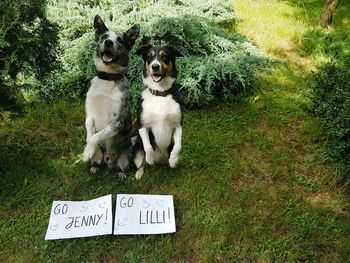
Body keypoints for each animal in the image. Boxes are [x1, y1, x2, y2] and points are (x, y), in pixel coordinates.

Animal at [83, 14, 139, 179]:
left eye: (120, 40)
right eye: (104, 37)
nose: (108, 42)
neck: (108, 78)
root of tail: (108, 161)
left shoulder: (118, 121)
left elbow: (98, 135)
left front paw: (89, 148)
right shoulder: (89, 114)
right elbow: (90, 131)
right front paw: (89, 149)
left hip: (126, 156)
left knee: (123, 166)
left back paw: (121, 174)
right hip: (99, 160)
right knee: (96, 163)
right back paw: (94, 167)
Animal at [132, 46, 183, 182]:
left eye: (164, 56)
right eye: (149, 57)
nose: (155, 66)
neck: (160, 93)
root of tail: (160, 160)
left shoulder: (178, 126)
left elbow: (178, 146)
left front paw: (174, 160)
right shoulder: (142, 126)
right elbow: (148, 146)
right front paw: (149, 158)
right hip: (137, 151)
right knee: (141, 163)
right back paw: (140, 172)